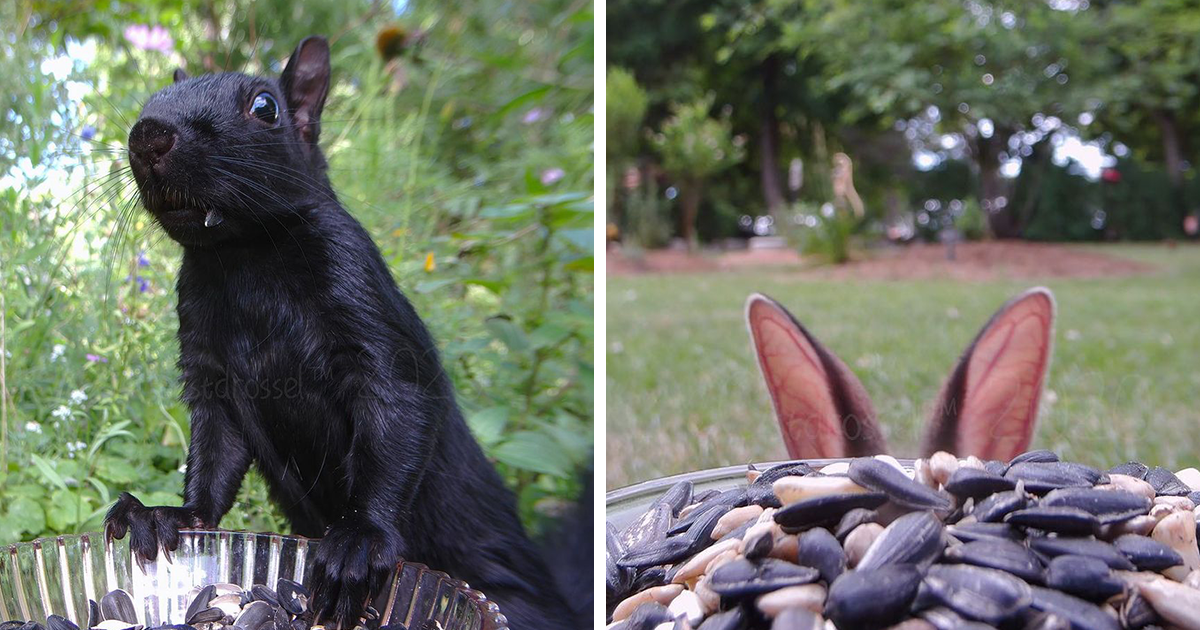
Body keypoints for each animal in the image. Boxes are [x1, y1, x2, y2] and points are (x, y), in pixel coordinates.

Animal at [103, 35, 590, 628]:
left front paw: (360, 542)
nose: (147, 135)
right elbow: (216, 453)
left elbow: (396, 416)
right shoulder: (210, 373)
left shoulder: (362, 304)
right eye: (154, 96)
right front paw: (170, 515)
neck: (244, 259)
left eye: (264, 107)